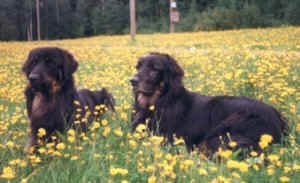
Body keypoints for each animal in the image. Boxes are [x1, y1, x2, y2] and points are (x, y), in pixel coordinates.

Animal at [130, 52, 288, 155]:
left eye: (154, 69)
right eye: (138, 67)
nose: (132, 81)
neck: (161, 100)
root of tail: (279, 119)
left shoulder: (167, 139)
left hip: (226, 127)